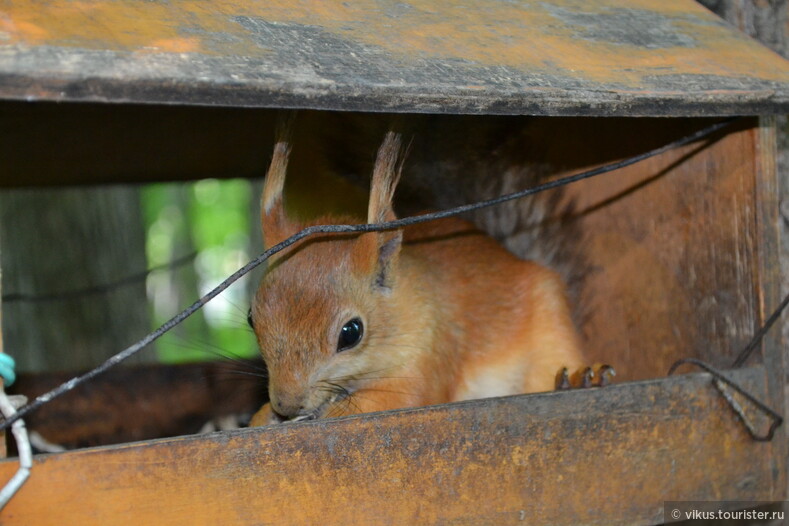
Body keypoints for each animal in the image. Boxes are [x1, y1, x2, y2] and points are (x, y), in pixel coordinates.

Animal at [249, 132, 588, 428]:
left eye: (351, 333)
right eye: (252, 318)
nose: (286, 405)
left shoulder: (430, 353)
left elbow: (400, 399)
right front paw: (262, 416)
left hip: (551, 331)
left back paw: (578, 379)